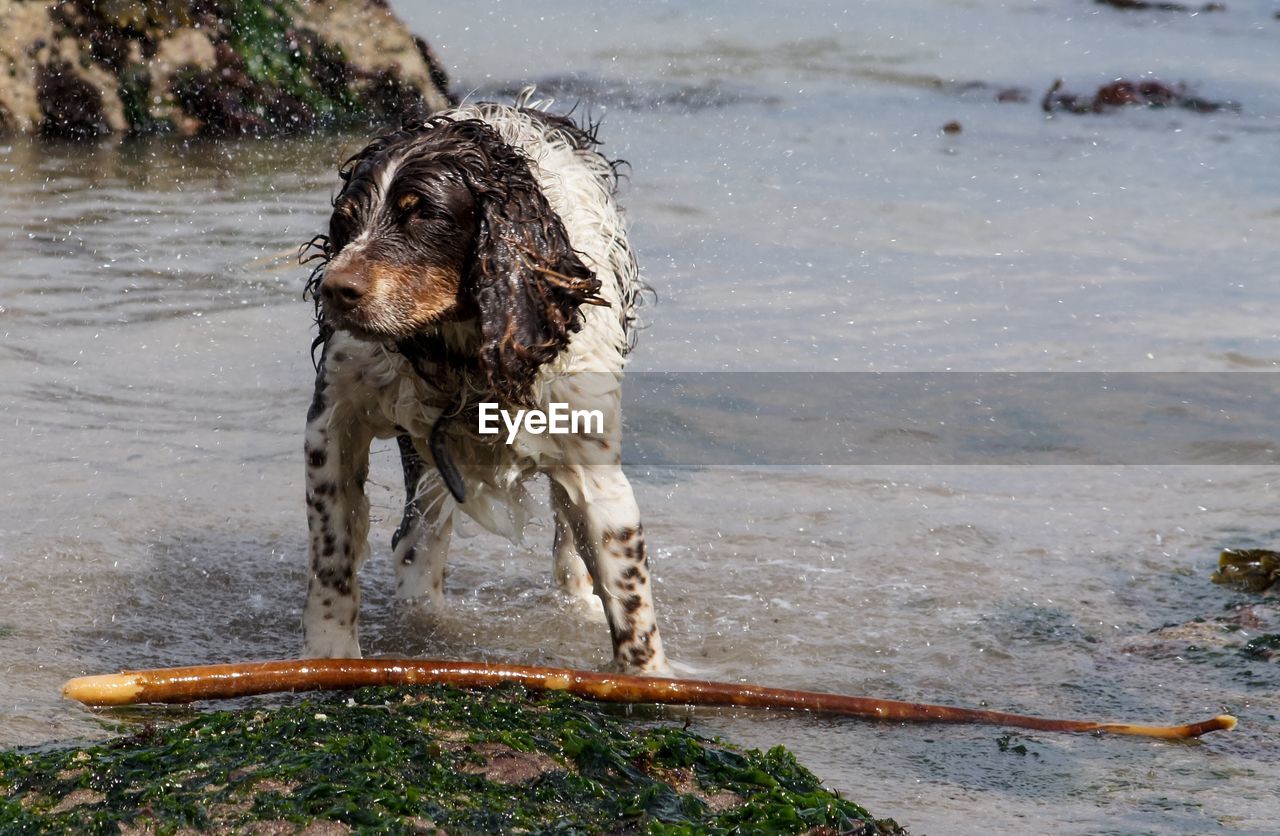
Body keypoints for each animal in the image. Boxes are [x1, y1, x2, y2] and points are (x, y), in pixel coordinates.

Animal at [299, 94, 670, 675]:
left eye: (422, 214)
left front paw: (651, 679)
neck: (462, 350)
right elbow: (333, 556)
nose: (334, 290)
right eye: (345, 219)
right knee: (418, 544)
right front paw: (329, 654)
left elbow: (627, 584)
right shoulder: (334, 420)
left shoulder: (590, 452)